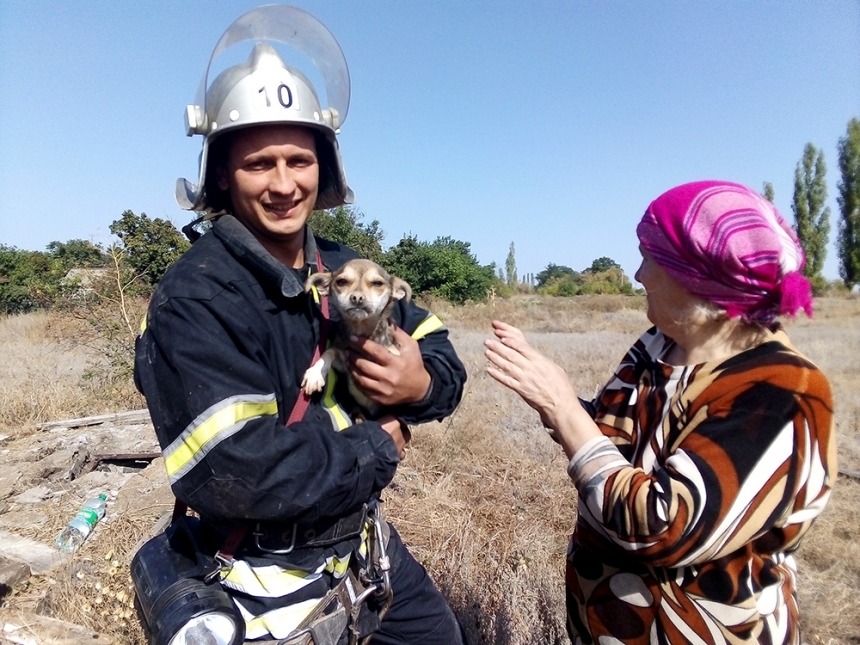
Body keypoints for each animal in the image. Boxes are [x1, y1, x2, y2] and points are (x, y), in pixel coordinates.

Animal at [300, 258, 412, 418]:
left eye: (377, 283)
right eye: (341, 282)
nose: (357, 297)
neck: (361, 331)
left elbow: (393, 354)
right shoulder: (343, 362)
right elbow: (329, 352)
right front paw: (316, 373)